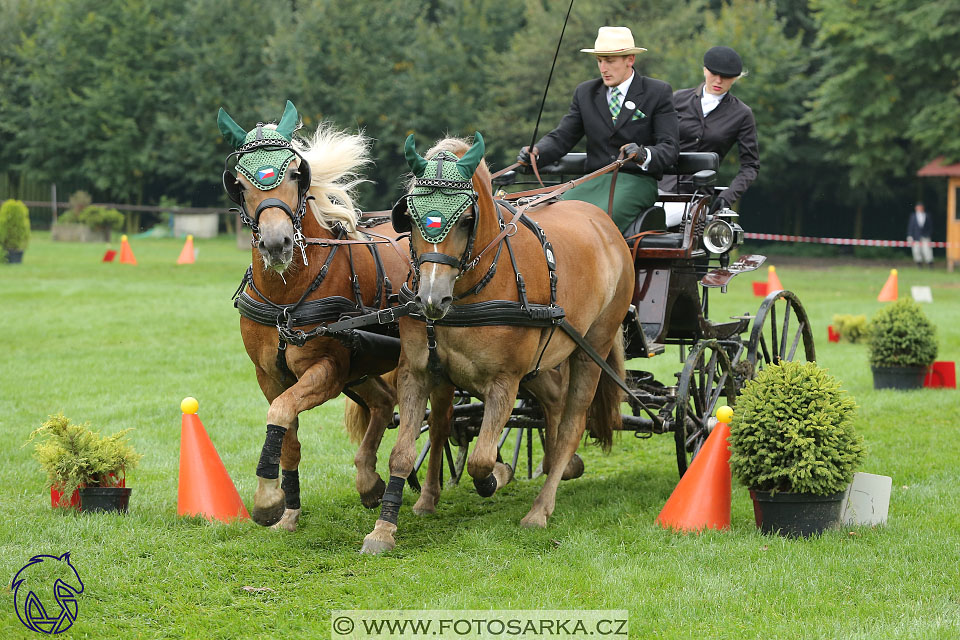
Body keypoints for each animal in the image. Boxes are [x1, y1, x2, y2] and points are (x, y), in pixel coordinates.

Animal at [218, 100, 412, 528]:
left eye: (295, 172)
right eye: (239, 183)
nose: (277, 243)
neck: (286, 297)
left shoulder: (327, 369)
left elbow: (280, 411)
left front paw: (266, 497)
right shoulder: (270, 375)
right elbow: (286, 433)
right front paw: (286, 509)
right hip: (363, 366)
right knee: (383, 400)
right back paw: (369, 480)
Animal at [360, 136, 636, 556]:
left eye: (466, 219)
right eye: (411, 216)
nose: (431, 299)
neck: (471, 289)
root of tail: (604, 223)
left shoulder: (504, 382)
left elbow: (481, 459)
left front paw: (499, 476)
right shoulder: (417, 372)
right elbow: (403, 454)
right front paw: (383, 528)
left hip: (594, 347)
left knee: (572, 424)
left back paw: (540, 508)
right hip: (541, 361)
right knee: (553, 403)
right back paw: (560, 466)